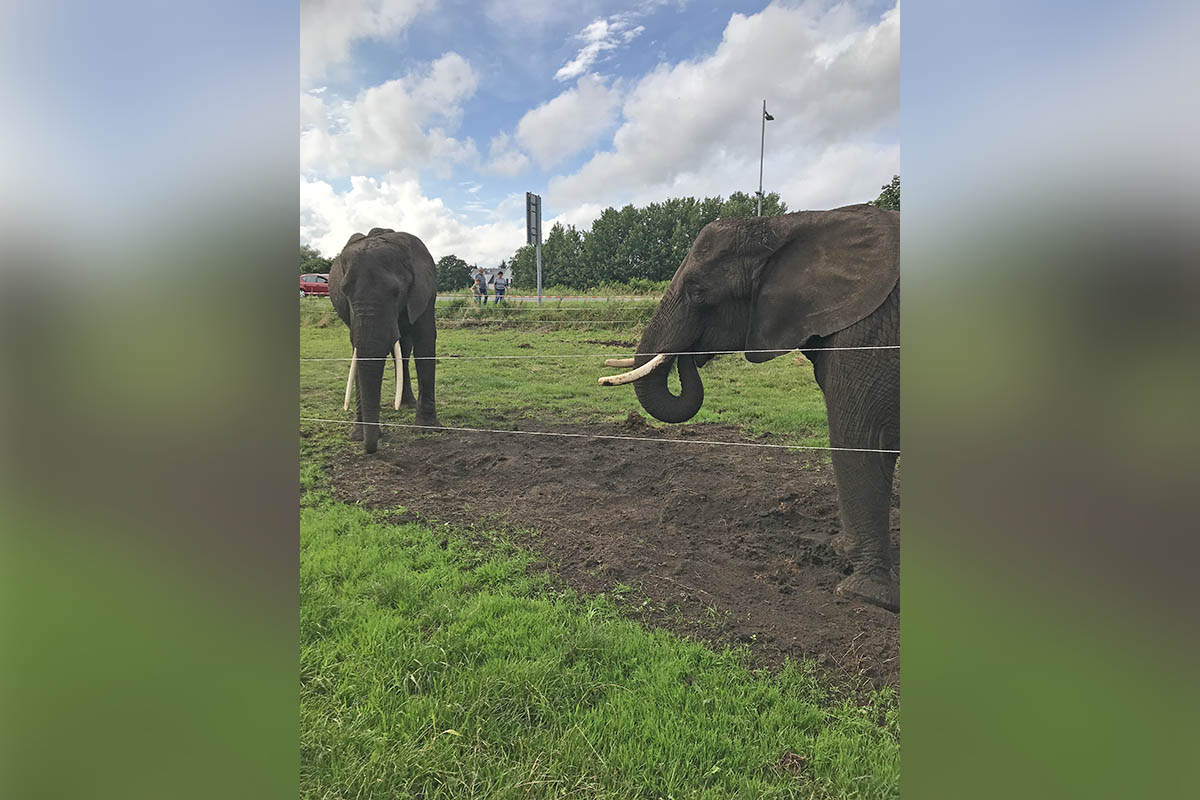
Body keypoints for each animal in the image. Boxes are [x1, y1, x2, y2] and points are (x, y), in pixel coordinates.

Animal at [328, 227, 441, 453]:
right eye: (344, 291)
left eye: (396, 292)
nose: (371, 449)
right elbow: (357, 354)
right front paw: (358, 436)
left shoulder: (425, 292)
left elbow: (425, 340)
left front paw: (428, 429)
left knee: (405, 349)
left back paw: (406, 404)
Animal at [600, 205, 902, 614]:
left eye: (698, 292)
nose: (690, 353)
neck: (788, 224)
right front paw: (843, 553)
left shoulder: (873, 332)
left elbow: (864, 436)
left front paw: (864, 595)